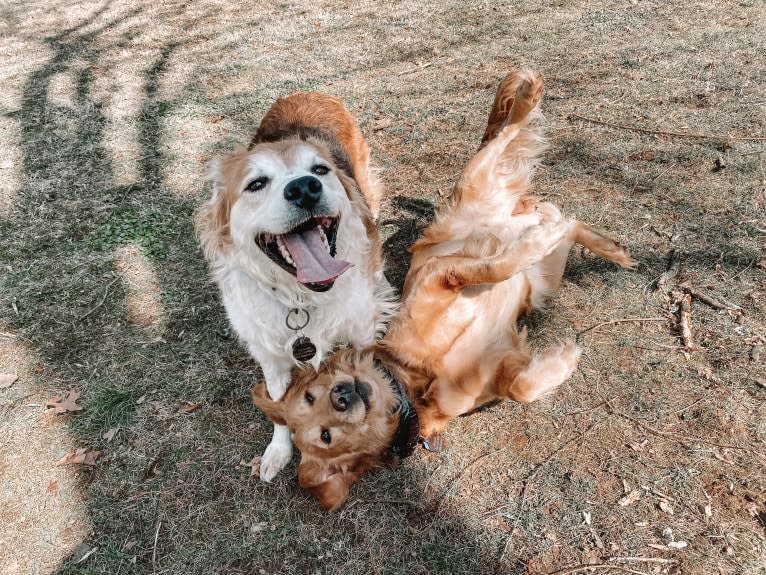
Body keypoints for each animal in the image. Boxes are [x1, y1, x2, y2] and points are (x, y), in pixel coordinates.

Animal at [198, 92, 400, 484]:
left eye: (320, 170)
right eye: (256, 184)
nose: (305, 187)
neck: (301, 297)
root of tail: (306, 93)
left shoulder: (360, 333)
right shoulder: (269, 354)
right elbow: (278, 408)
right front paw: (279, 451)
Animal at [252, 71, 636, 508]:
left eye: (311, 395)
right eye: (325, 435)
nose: (342, 397)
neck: (416, 381)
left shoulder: (444, 276)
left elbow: (497, 264)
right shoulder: (503, 365)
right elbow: (521, 387)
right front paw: (563, 361)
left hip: (477, 180)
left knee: (507, 135)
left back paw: (527, 92)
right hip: (543, 272)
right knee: (565, 220)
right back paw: (606, 247)